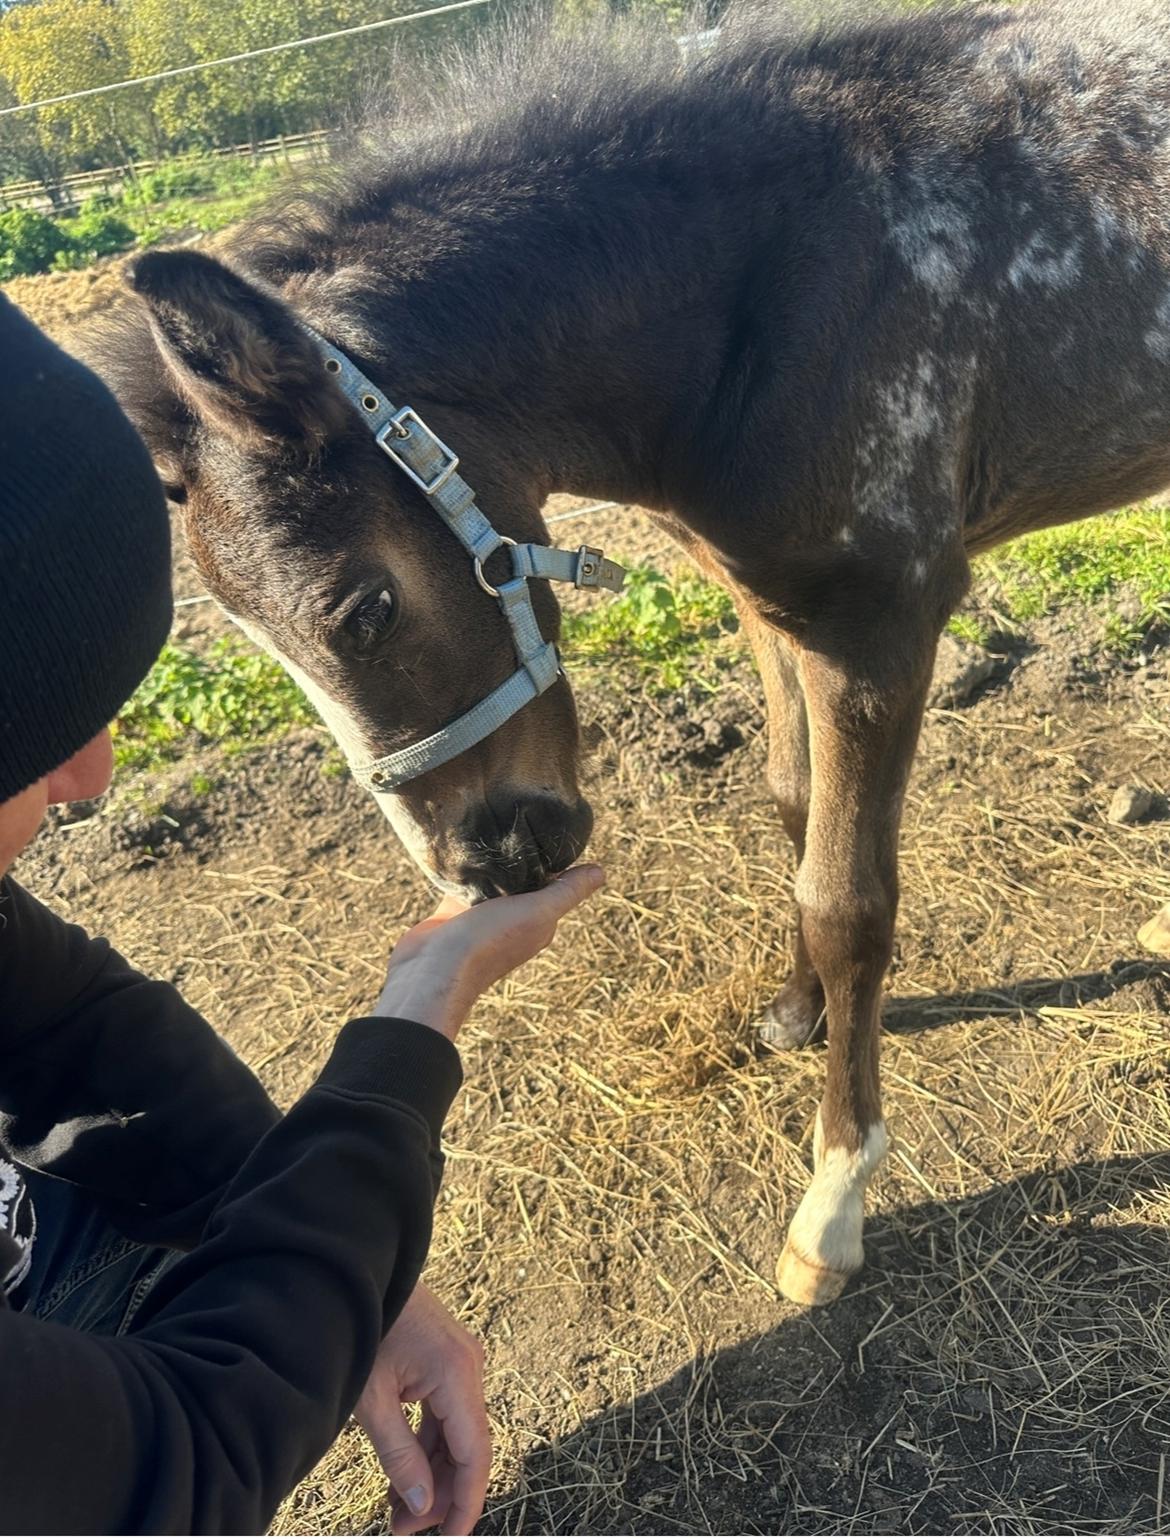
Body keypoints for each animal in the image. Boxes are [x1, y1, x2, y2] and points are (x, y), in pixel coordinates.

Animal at [95, 0, 1170, 1305]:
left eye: (364, 610)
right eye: (258, 644)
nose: (498, 862)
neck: (765, 287)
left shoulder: (878, 621)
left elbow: (848, 898)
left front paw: (832, 1204)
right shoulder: (770, 603)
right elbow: (790, 802)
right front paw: (795, 1013)